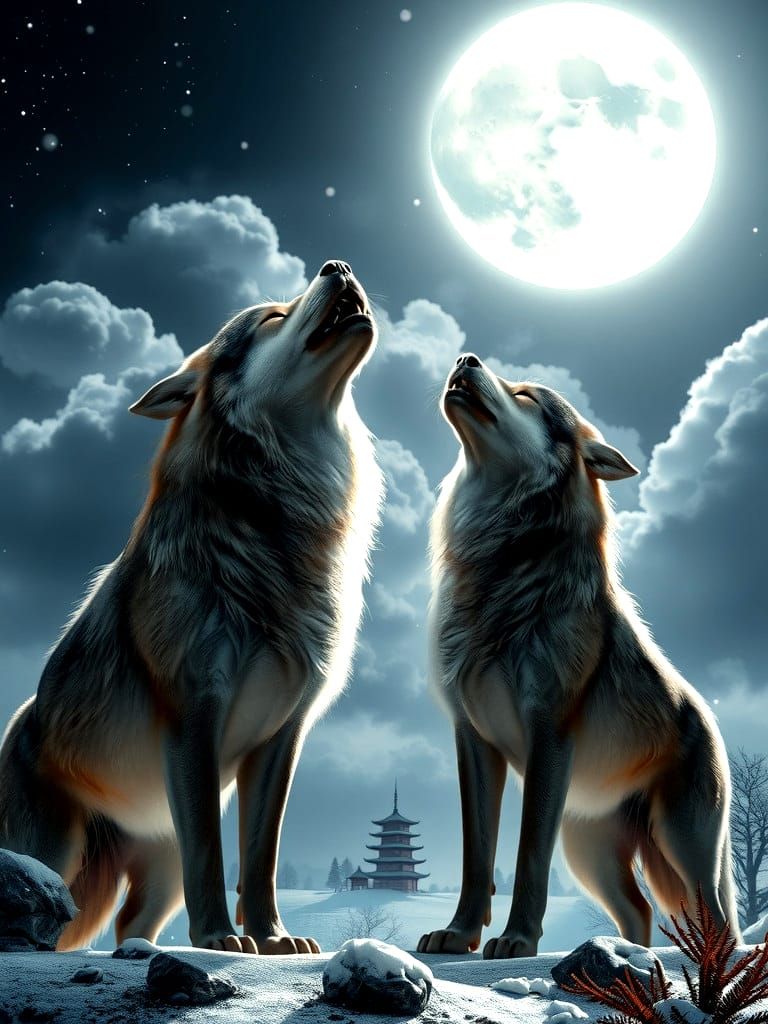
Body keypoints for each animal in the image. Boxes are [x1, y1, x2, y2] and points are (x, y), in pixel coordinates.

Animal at [0, 260, 382, 955]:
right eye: (273, 316)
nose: (337, 267)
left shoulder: (282, 739)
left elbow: (260, 857)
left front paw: (273, 937)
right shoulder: (195, 713)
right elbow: (212, 848)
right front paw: (219, 937)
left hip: (159, 872)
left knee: (132, 923)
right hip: (52, 857)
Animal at [418, 353, 739, 959]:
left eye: (525, 395)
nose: (465, 358)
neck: (501, 565)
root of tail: (707, 717)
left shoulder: (548, 733)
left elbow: (526, 858)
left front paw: (516, 940)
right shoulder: (472, 739)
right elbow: (477, 860)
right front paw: (459, 935)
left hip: (680, 846)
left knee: (717, 919)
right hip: (589, 853)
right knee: (639, 911)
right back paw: (627, 956)